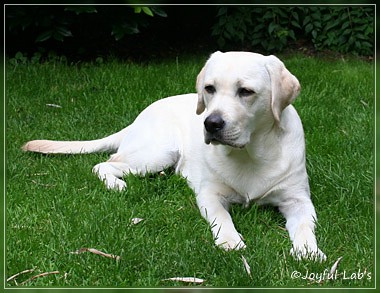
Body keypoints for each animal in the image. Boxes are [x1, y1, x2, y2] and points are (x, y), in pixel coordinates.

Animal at [23, 50, 326, 260]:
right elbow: (222, 218)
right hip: (159, 152)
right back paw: (117, 184)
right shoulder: (210, 195)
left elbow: (304, 226)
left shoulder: (297, 199)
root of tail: (138, 117)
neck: (251, 154)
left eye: (246, 91)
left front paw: (309, 251)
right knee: (105, 163)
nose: (211, 124)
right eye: (209, 88)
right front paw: (230, 241)